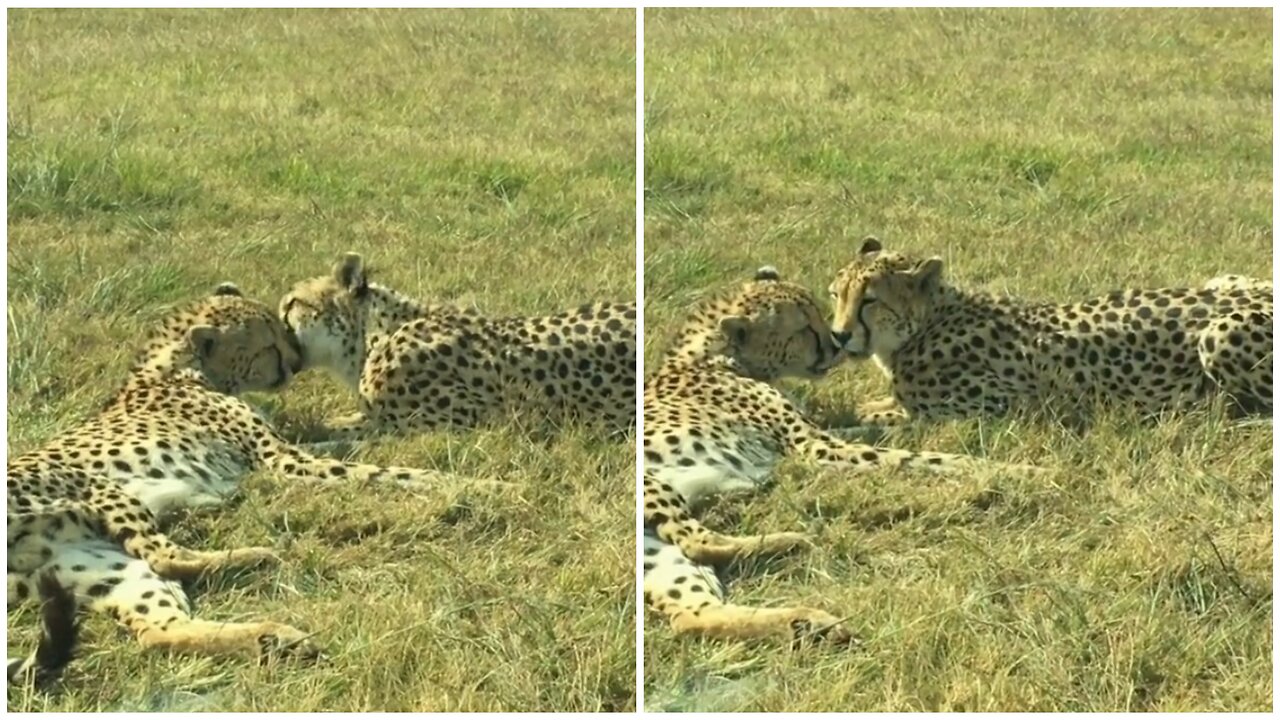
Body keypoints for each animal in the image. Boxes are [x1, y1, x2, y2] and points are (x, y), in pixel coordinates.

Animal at [6, 280, 465, 666]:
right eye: (269, 345)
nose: (296, 362)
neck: (180, 370)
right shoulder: (281, 461)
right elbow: (374, 470)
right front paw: (460, 482)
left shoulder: (283, 452)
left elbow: (346, 445)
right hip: (92, 485)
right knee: (164, 554)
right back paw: (260, 555)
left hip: (97, 568)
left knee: (160, 631)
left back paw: (274, 637)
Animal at [640, 266, 1039, 640]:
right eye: (804, 328)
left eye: (818, 311)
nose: (836, 344)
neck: (718, 356)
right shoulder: (814, 447)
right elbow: (907, 456)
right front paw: (1017, 470)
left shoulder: (822, 434)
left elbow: (880, 432)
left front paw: (922, 422)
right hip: (652, 485)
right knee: (696, 540)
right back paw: (794, 542)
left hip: (660, 556)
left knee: (692, 615)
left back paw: (809, 622)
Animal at [829, 238, 1269, 422]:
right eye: (836, 294)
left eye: (870, 301)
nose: (838, 335)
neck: (926, 324)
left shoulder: (998, 409)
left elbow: (885, 420)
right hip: (1221, 279)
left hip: (1219, 334)